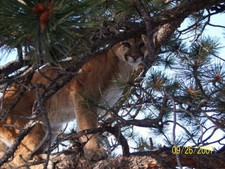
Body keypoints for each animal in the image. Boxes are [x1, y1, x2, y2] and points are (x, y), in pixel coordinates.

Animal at [0, 35, 148, 167]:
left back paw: (50, 158)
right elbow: (88, 126)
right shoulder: (84, 97)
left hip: (51, 128)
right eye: (126, 43)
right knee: (14, 160)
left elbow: (87, 127)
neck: (121, 67)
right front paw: (94, 151)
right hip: (34, 126)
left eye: (142, 44)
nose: (136, 56)